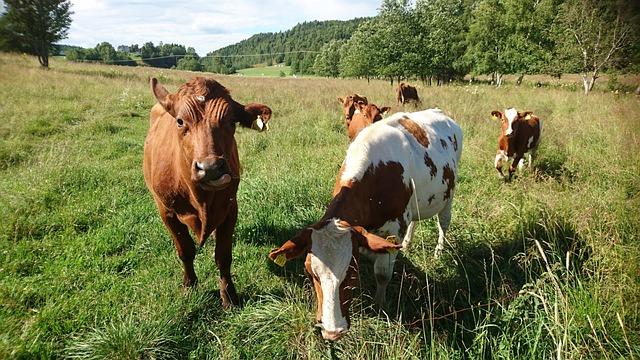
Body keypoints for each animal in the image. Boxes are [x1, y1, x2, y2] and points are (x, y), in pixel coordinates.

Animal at [145, 76, 272, 306]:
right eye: (180, 121)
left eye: (231, 122)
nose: (211, 167)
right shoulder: (166, 212)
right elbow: (185, 250)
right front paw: (189, 285)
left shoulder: (230, 208)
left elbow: (223, 256)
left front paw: (229, 296)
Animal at [268, 109, 462, 340]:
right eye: (310, 272)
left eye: (352, 270)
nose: (332, 331)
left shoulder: (394, 230)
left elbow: (382, 273)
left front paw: (380, 305)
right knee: (415, 221)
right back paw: (408, 245)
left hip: (449, 195)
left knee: (443, 224)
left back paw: (439, 252)